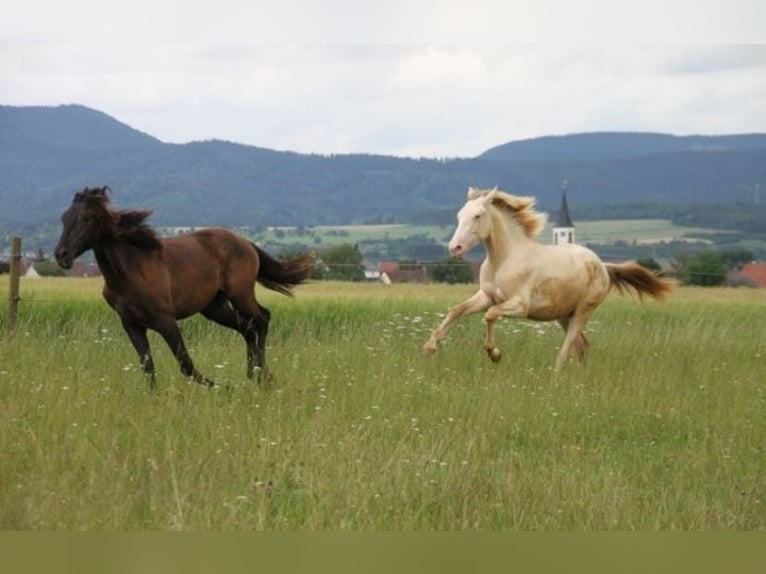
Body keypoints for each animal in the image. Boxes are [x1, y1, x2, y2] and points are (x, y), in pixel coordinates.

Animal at [54, 187, 316, 390]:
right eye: (65, 217)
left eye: (87, 218)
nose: (61, 255)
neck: (130, 270)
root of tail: (246, 243)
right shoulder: (131, 324)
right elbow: (148, 366)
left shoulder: (165, 319)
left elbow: (186, 365)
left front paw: (226, 388)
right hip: (214, 307)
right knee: (248, 328)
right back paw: (256, 374)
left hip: (240, 293)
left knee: (262, 318)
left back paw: (260, 376)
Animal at [420, 187, 680, 372]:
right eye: (459, 215)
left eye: (477, 215)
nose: (455, 248)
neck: (503, 260)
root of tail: (603, 267)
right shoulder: (486, 296)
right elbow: (457, 310)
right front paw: (430, 347)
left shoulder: (519, 305)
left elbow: (490, 315)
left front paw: (495, 354)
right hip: (565, 314)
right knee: (583, 346)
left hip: (583, 311)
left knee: (569, 347)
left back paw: (555, 375)